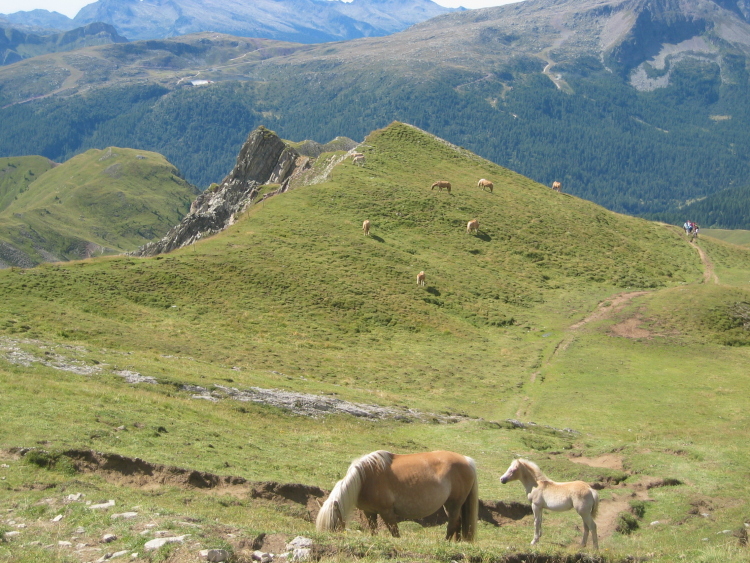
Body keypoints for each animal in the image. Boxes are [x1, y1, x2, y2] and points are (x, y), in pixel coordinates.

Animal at [318, 450, 482, 540]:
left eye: (332, 526)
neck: (365, 479)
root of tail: (466, 460)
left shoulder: (387, 512)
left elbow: (395, 532)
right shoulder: (369, 512)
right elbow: (373, 531)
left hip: (453, 504)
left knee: (453, 523)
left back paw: (445, 542)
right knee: (458, 523)